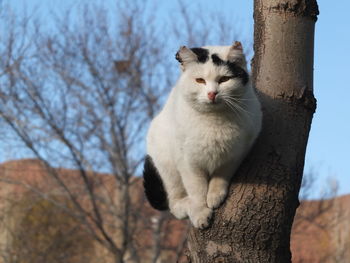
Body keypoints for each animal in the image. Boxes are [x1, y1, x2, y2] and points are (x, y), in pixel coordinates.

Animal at [143, 42, 262, 230]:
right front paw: (200, 212)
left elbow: (221, 174)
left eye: (224, 79)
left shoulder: (237, 153)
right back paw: (187, 206)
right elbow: (197, 189)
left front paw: (214, 195)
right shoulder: (188, 161)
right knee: (175, 204)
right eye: (200, 80)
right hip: (167, 166)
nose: (212, 93)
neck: (214, 120)